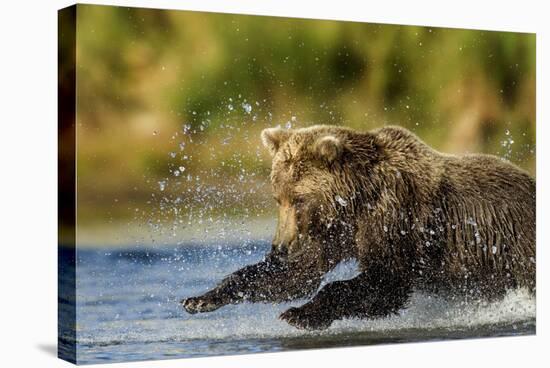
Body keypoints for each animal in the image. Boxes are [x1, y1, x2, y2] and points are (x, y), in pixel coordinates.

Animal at [183, 126, 536, 330]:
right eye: (277, 198)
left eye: (298, 199)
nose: (279, 248)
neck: (354, 201)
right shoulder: (331, 232)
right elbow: (297, 275)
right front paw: (201, 299)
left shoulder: (394, 216)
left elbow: (385, 282)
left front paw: (300, 315)